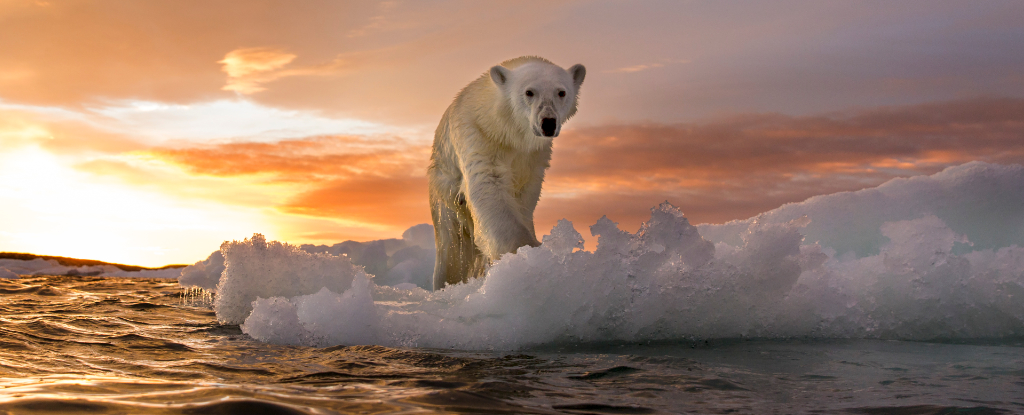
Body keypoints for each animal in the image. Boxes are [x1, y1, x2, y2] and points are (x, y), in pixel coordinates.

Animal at [423, 56, 585, 288]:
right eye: (529, 92)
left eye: (561, 92)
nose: (548, 123)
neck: (507, 131)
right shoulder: (479, 135)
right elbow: (489, 186)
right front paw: (526, 254)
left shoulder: (534, 157)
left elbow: (524, 196)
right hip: (444, 192)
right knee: (452, 249)